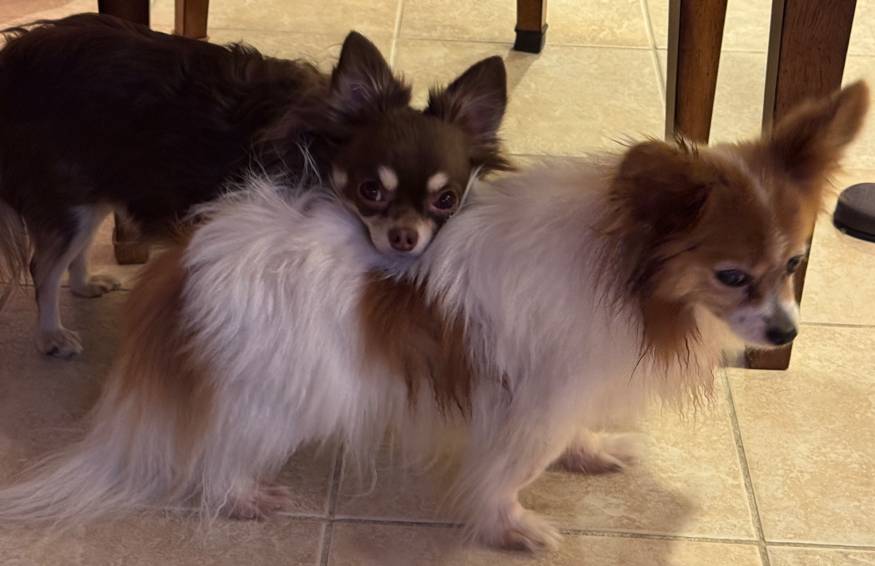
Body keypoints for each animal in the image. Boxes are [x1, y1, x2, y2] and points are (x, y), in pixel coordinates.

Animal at [0, 14, 509, 357]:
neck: (318, 158)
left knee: (71, 253)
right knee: (43, 267)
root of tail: (14, 55)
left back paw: (84, 286)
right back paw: (51, 335)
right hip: (70, 194)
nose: (406, 238)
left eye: (446, 200)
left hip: (92, 190)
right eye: (370, 190)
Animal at [0, 82, 864, 550]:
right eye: (731, 277)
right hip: (279, 398)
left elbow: (573, 439)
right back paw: (243, 499)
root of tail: (184, 265)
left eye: (794, 265)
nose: (785, 333)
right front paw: (511, 530)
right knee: (217, 457)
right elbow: (507, 475)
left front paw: (587, 456)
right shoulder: (534, 406)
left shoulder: (566, 391)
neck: (630, 282)